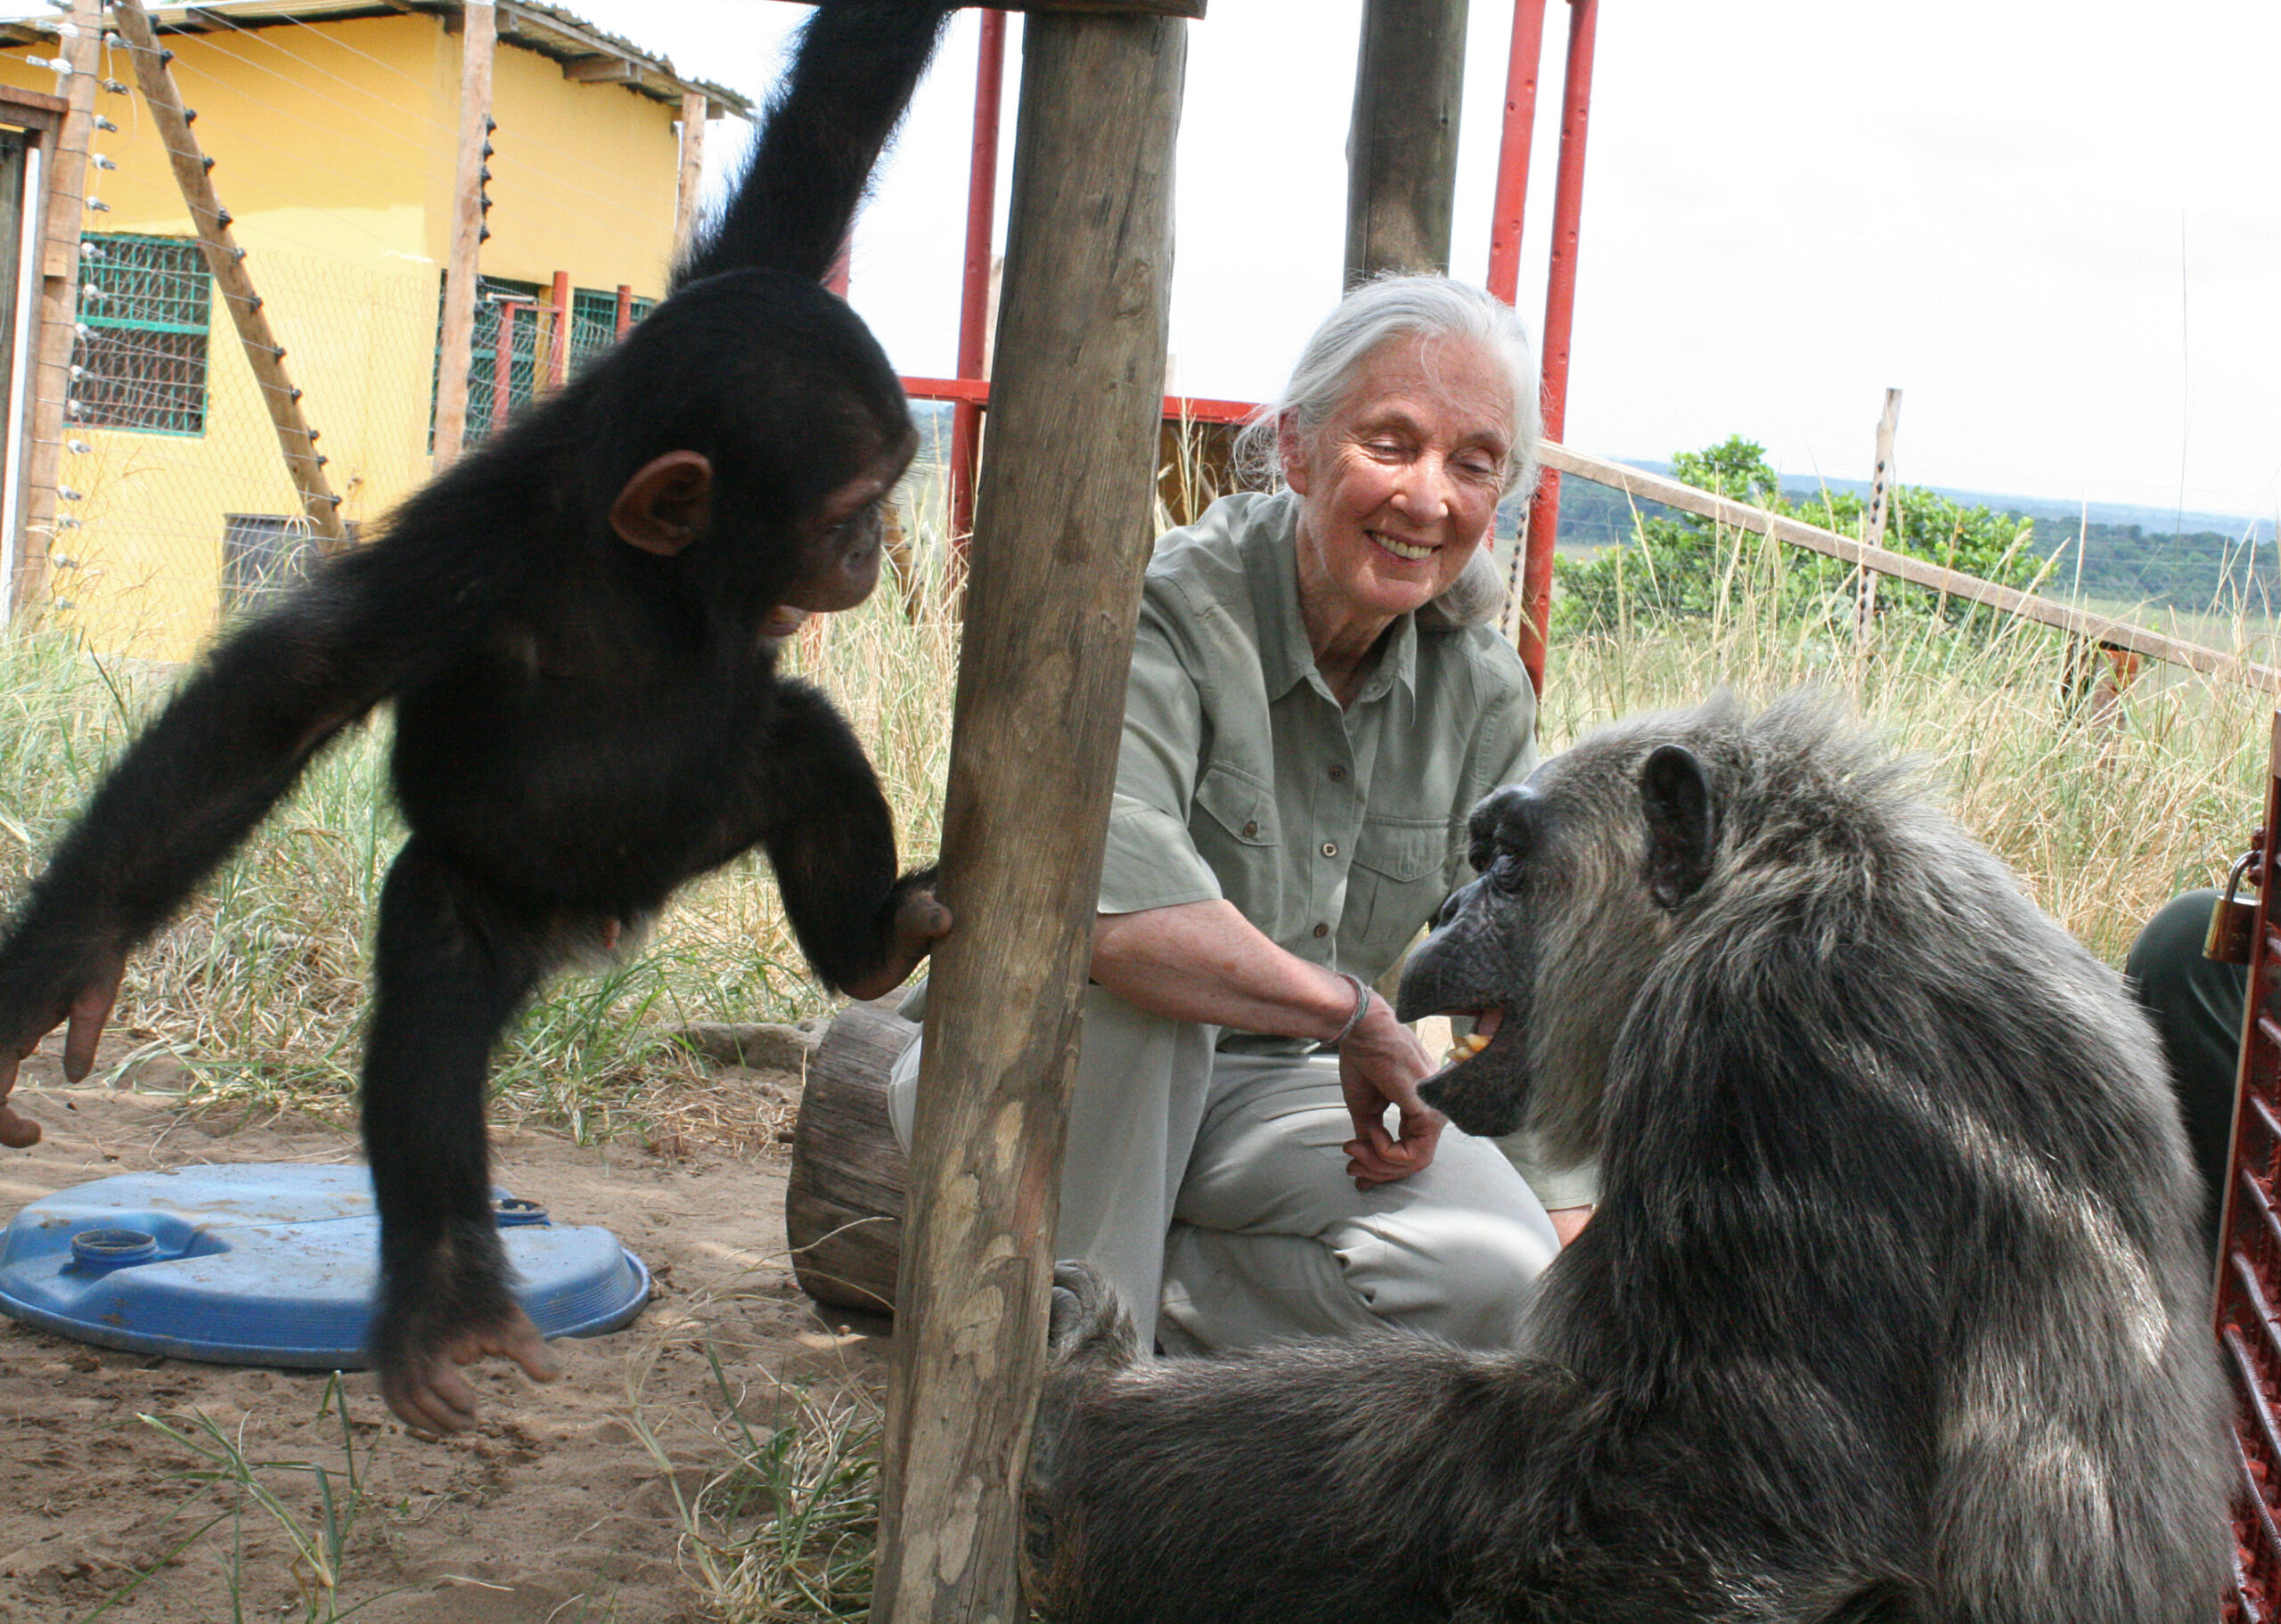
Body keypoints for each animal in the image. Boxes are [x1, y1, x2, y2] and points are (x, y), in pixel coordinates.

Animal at [0, 0, 959, 1435]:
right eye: (851, 503)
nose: (864, 551)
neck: (645, 572)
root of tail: (600, 928)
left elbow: (832, 129)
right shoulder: (467, 557)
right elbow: (282, 695)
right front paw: (60, 965)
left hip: (709, 815)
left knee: (801, 747)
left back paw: (871, 942)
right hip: (489, 894)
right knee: (433, 1014)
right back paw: (448, 1289)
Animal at [1025, 691, 2231, 1624]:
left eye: (1512, 863)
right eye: (1480, 853)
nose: (1451, 903)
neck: (1751, 891)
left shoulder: (1769, 1056)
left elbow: (1726, 1496)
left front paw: (1091, 1429)